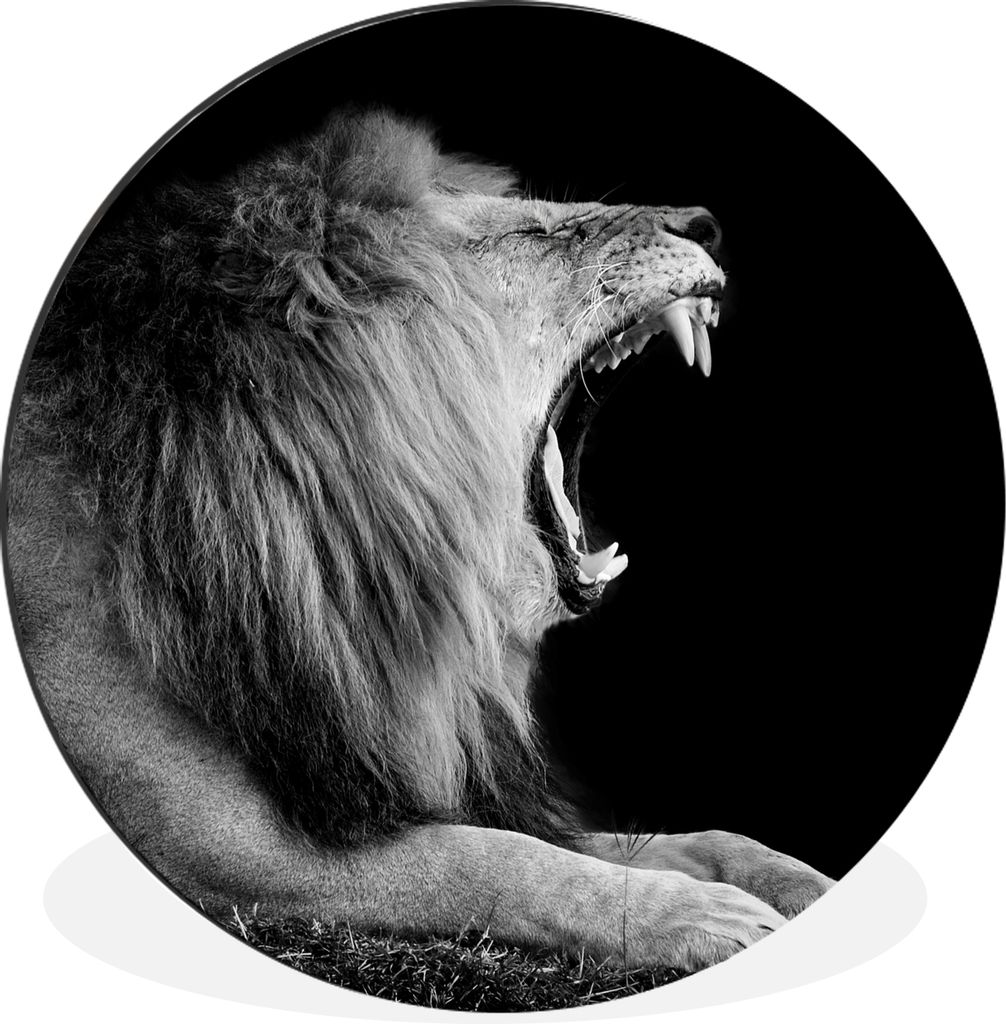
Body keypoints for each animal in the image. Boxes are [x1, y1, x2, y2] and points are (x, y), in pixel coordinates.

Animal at [5, 108, 831, 977]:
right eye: (534, 233)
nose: (705, 224)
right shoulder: (216, 841)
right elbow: (492, 861)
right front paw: (697, 914)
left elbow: (652, 837)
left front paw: (783, 875)